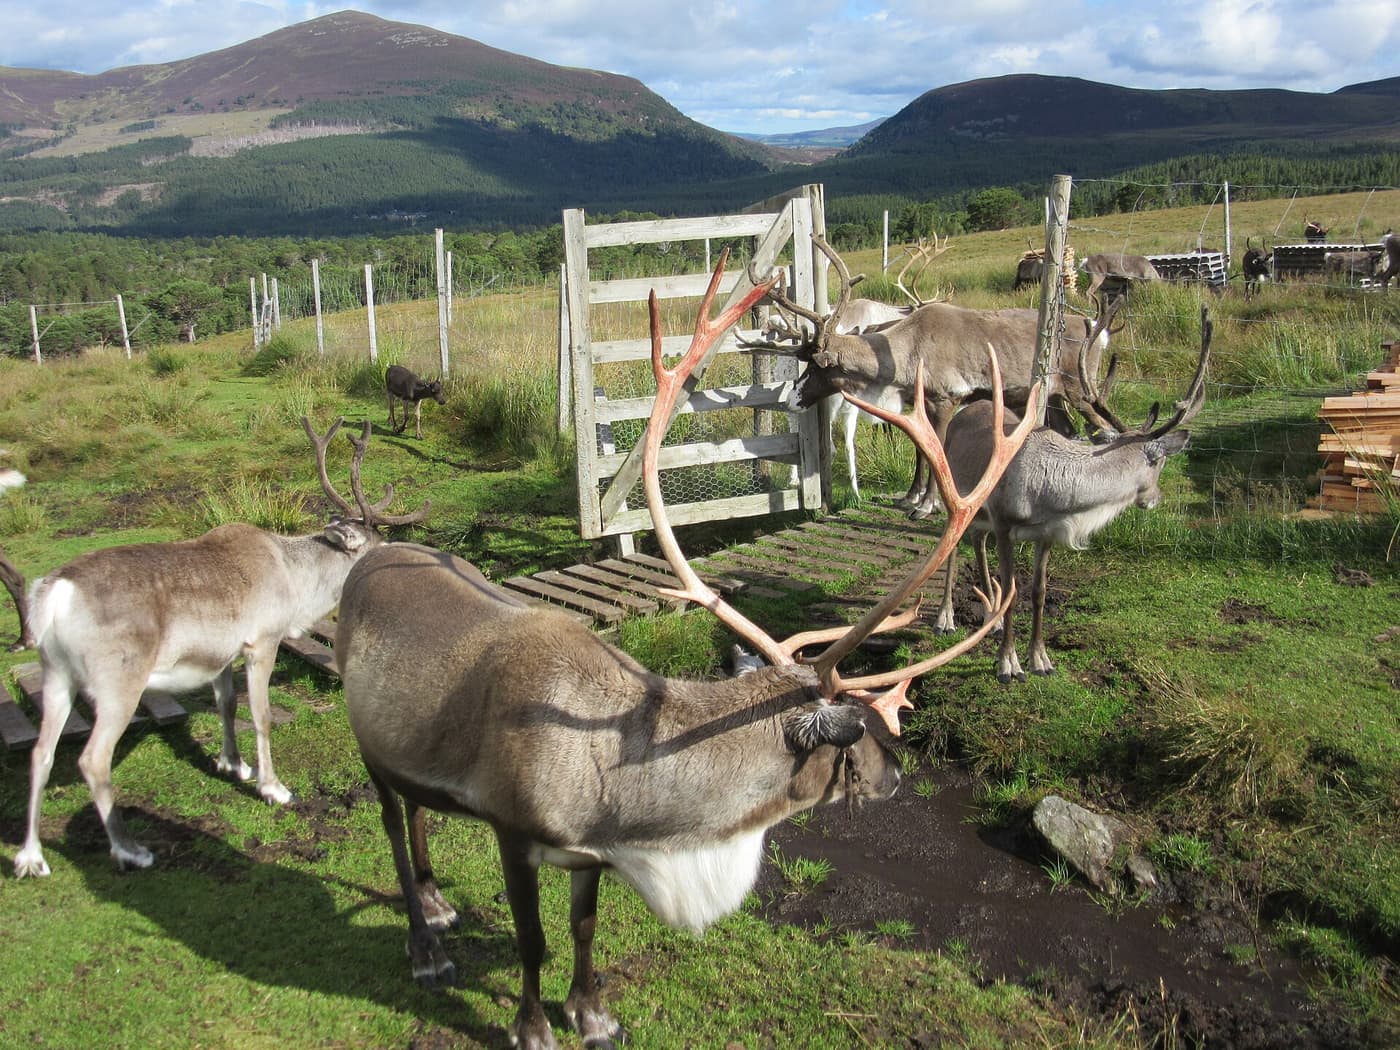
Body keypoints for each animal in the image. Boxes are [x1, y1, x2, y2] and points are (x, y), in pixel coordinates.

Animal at [12, 418, 430, 879]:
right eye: (377, 547)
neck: (296, 583)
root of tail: (53, 594)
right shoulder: (262, 640)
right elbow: (261, 715)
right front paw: (273, 787)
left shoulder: (221, 654)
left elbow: (227, 704)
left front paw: (233, 764)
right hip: (118, 682)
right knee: (92, 760)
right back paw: (130, 850)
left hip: (56, 674)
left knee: (41, 753)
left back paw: (30, 857)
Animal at [333, 250, 1037, 1050]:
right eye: (854, 733)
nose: (898, 775)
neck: (642, 817)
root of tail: (369, 553)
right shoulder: (513, 830)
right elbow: (533, 940)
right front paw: (534, 1026)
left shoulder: (591, 854)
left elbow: (583, 928)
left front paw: (593, 1013)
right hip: (368, 744)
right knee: (393, 823)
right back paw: (424, 944)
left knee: (418, 812)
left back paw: (436, 904)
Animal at [746, 236, 1120, 518]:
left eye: (817, 366)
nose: (791, 400)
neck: (903, 353)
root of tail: (1096, 330)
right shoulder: (920, 402)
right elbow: (921, 451)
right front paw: (911, 497)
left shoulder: (945, 398)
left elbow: (936, 449)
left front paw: (927, 505)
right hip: (1053, 396)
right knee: (1070, 431)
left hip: (1079, 390)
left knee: (1104, 428)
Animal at [935, 306, 1211, 683]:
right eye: (1159, 463)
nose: (1155, 498)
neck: (1050, 491)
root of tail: (964, 413)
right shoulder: (1005, 523)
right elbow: (1012, 591)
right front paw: (1008, 664)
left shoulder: (1046, 531)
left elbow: (1038, 592)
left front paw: (1041, 660)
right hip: (957, 497)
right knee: (951, 550)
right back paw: (945, 618)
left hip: (981, 511)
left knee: (977, 542)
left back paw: (991, 621)